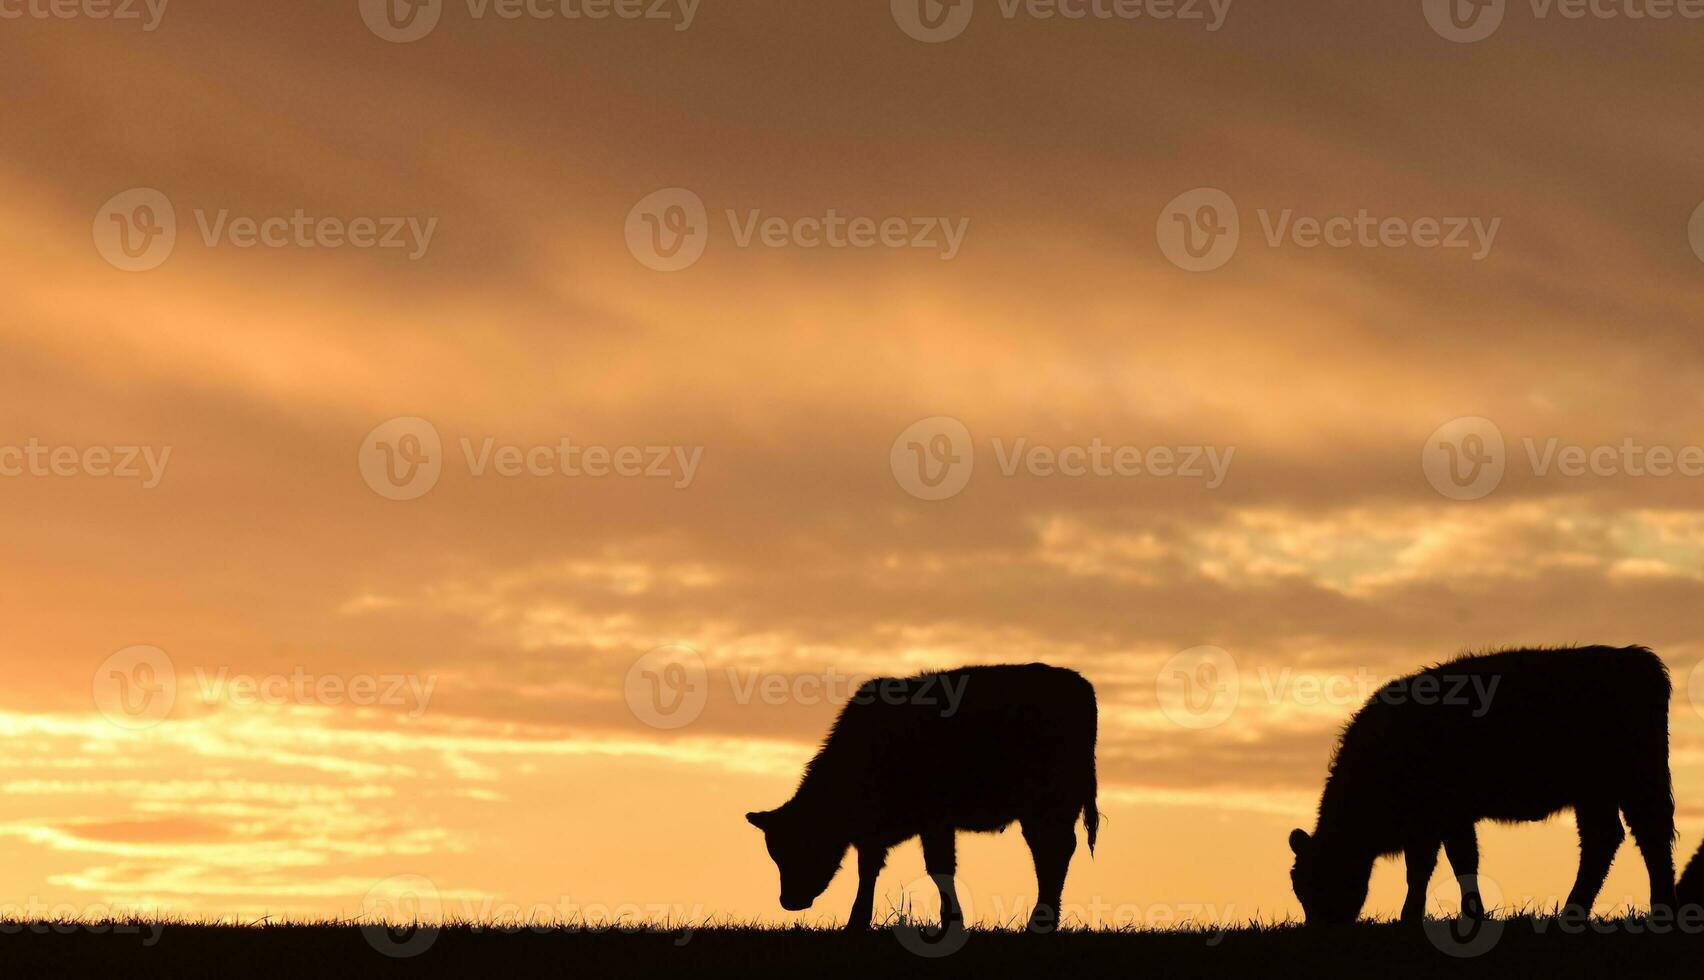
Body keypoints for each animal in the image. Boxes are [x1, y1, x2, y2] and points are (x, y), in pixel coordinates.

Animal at [749, 664, 1097, 933]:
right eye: (775, 853)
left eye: (800, 845)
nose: (788, 901)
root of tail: (1079, 683)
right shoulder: (876, 833)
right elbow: (868, 869)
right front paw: (857, 922)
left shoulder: (934, 821)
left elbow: (939, 868)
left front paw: (952, 922)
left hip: (1048, 805)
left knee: (1052, 853)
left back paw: (1040, 923)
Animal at [1288, 647, 1676, 927]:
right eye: (1299, 888)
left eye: (1324, 876)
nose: (1321, 928)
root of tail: (1635, 657)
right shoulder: (1433, 824)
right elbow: (1439, 866)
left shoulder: (1445, 818)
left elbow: (1448, 864)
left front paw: (1437, 915)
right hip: (1595, 793)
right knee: (1603, 839)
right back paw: (1573, 912)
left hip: (1638, 781)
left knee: (1651, 836)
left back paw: (1661, 911)